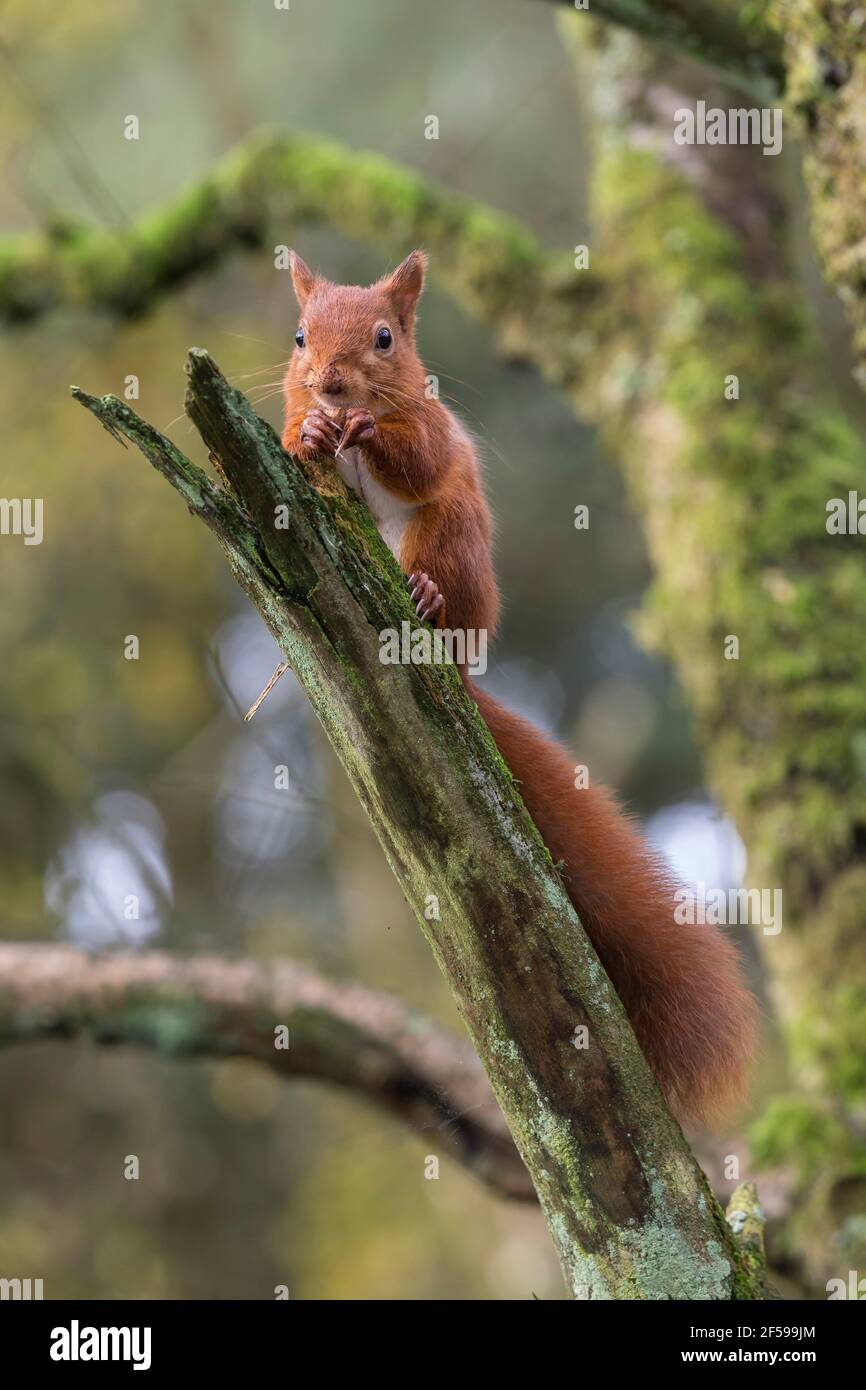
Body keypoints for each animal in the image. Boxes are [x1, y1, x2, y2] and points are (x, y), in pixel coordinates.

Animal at [280, 247, 756, 1117]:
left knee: (441, 546)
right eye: (300, 336)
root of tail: (464, 674)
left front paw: (364, 430)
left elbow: (421, 458)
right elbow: (293, 444)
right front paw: (312, 432)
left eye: (386, 338)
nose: (329, 383)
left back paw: (427, 599)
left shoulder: (433, 432)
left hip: (454, 536)